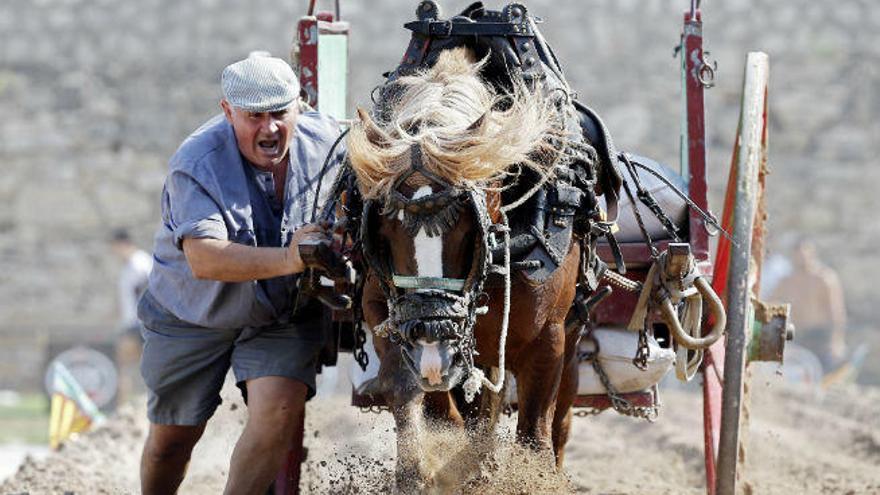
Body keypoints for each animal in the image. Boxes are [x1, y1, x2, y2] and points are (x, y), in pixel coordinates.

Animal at [340, 47, 596, 492]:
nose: (433, 333)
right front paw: (426, 471)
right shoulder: (388, 319)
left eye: (465, 230)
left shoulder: (547, 339)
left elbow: (534, 436)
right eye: (384, 228)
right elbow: (421, 400)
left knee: (558, 424)